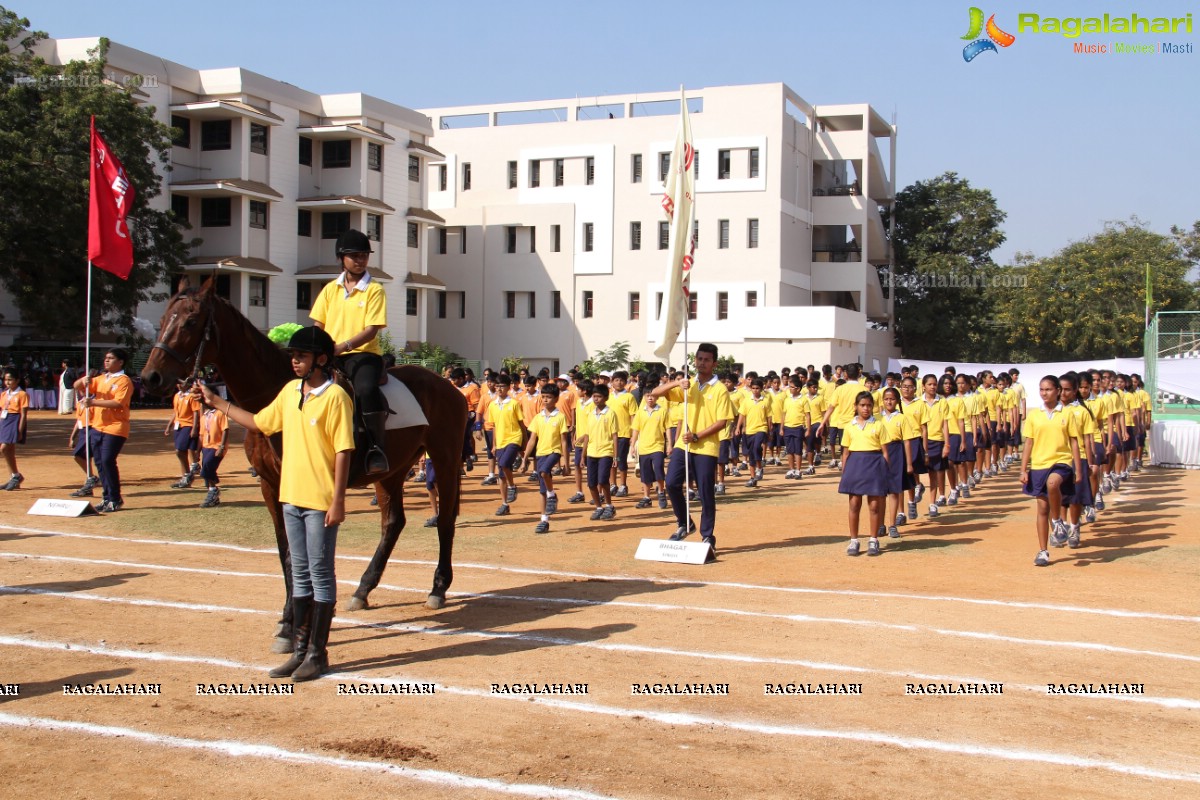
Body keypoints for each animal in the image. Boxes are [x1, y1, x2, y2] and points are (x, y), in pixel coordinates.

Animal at [140, 278, 468, 652]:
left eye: (191, 322)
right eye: (163, 318)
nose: (150, 378)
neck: (275, 398)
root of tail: (447, 385)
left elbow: (306, 554)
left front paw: (298, 622)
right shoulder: (270, 485)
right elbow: (287, 552)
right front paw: (288, 622)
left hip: (444, 458)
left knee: (445, 520)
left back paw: (438, 587)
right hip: (392, 469)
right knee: (393, 523)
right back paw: (362, 590)